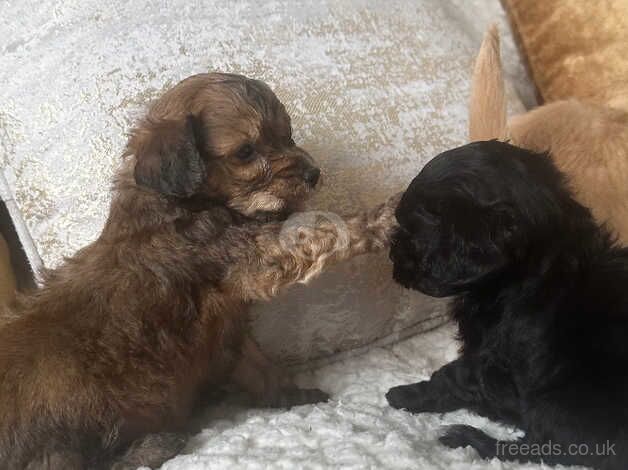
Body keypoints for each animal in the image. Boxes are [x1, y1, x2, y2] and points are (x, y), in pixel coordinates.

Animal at [0, 73, 398, 470]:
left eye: (288, 135)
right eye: (246, 152)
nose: (314, 174)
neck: (176, 203)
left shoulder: (230, 332)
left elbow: (259, 366)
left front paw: (290, 395)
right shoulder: (249, 253)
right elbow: (318, 230)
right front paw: (382, 217)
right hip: (67, 434)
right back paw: (157, 443)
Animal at [386, 140, 628, 470]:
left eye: (415, 230)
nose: (391, 252)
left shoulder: (492, 359)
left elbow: (452, 376)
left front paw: (405, 395)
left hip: (558, 401)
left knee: (545, 449)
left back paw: (468, 438)